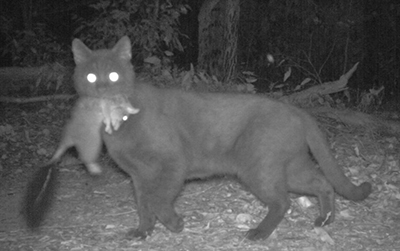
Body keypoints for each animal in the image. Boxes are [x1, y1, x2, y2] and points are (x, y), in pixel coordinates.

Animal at [25, 35, 372, 241]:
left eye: (112, 75)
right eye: (90, 75)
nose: (101, 87)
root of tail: (298, 110)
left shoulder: (170, 164)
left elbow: (157, 199)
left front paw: (175, 224)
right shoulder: (138, 175)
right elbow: (142, 203)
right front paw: (143, 232)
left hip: (260, 167)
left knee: (283, 200)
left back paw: (259, 234)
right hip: (290, 166)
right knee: (322, 183)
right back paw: (324, 220)